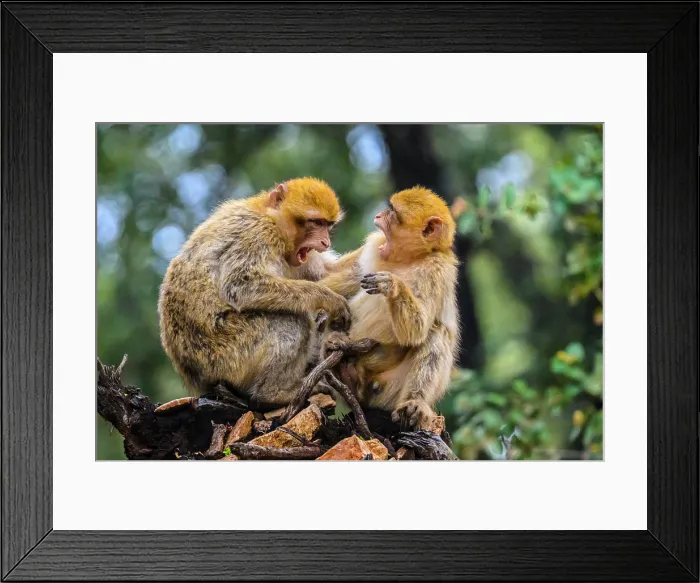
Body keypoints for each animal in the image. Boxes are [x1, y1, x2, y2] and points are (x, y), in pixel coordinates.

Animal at [157, 177, 351, 410]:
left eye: (327, 225)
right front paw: (327, 297)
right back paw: (274, 394)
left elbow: (328, 272)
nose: (325, 242)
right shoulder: (258, 233)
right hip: (226, 355)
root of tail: (196, 379)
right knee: (291, 320)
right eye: (315, 223)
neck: (271, 218)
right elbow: (240, 286)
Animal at [320, 186, 460, 429]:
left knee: (436, 331)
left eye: (393, 212)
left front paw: (392, 285)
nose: (379, 215)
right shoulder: (373, 247)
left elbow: (417, 330)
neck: (408, 259)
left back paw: (414, 402)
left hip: (389, 391)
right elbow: (345, 280)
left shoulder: (437, 270)